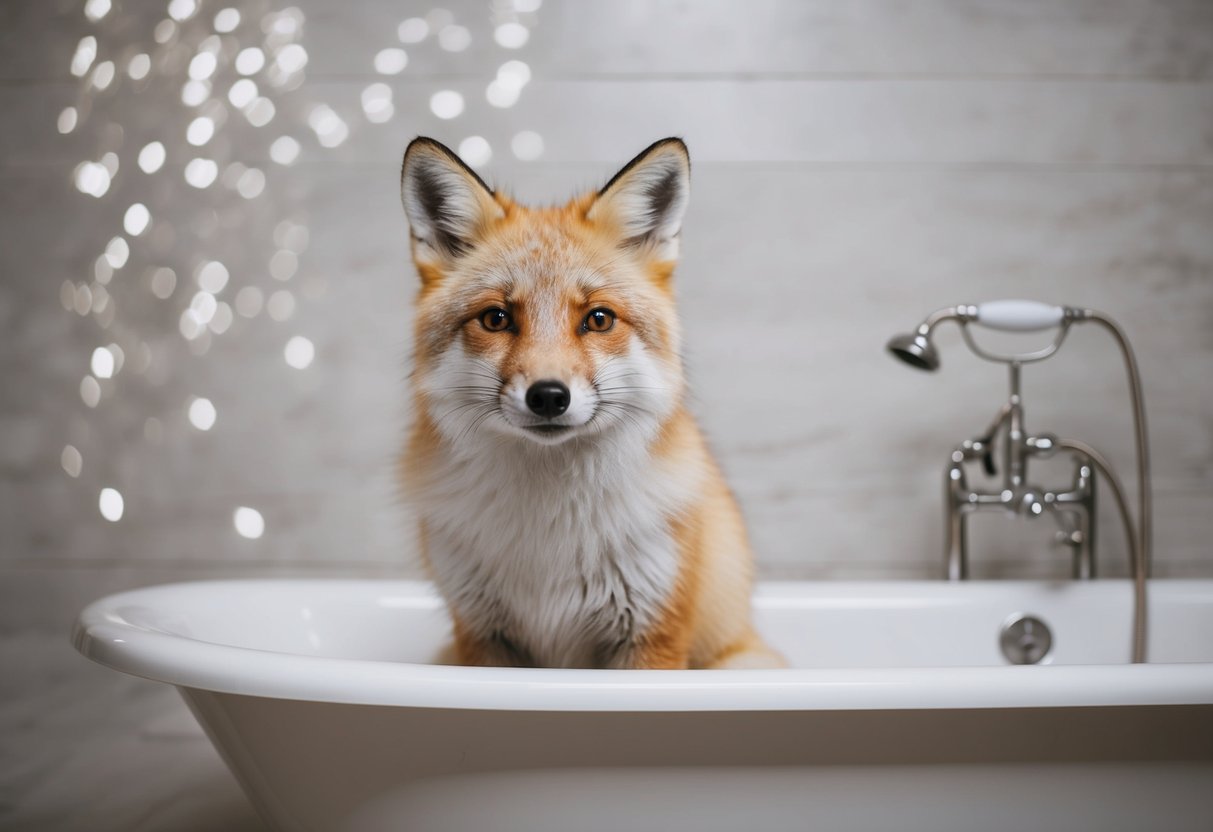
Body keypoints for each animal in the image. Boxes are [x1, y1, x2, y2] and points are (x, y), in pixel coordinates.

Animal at [398, 136, 784, 670]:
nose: (548, 397)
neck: (549, 541)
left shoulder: (652, 634)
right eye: (496, 319)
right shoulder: (482, 635)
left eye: (598, 319)